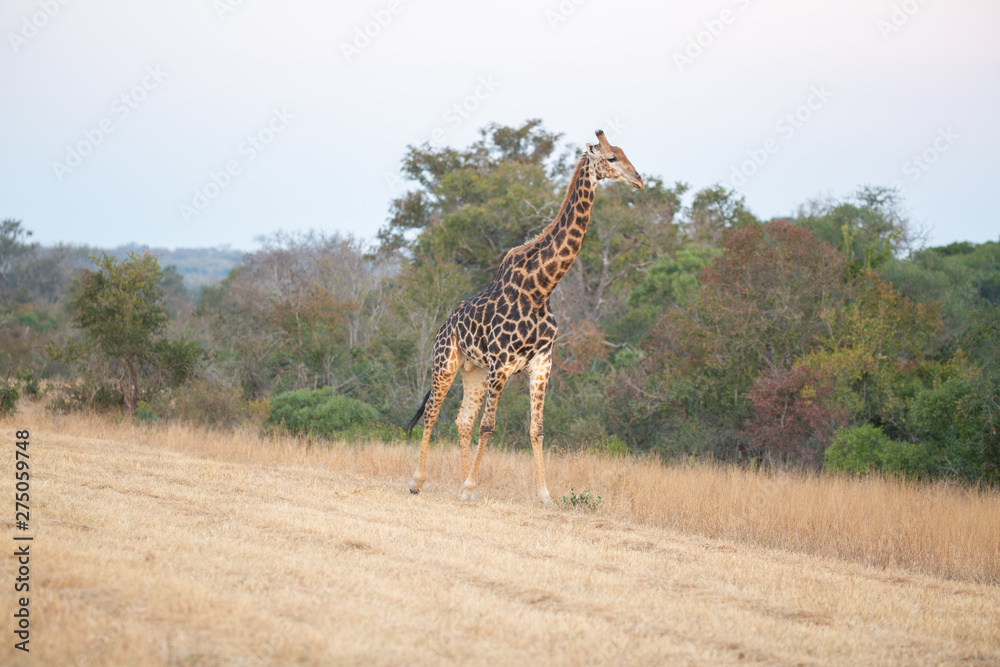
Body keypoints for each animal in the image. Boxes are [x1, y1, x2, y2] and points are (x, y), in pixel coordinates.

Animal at [405, 130, 644, 505]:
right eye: (611, 158)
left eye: (623, 153)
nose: (639, 180)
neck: (541, 288)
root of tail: (443, 327)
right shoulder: (502, 363)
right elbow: (490, 425)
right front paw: (471, 486)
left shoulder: (542, 364)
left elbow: (537, 429)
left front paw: (544, 494)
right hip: (446, 362)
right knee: (433, 414)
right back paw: (419, 481)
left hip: (474, 371)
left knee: (462, 420)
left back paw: (459, 481)